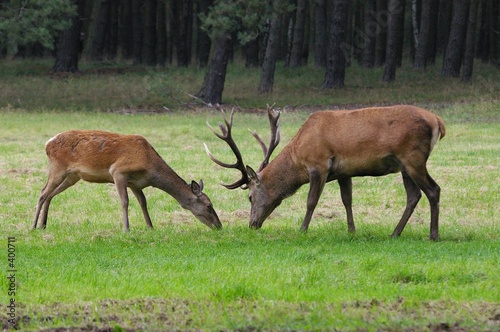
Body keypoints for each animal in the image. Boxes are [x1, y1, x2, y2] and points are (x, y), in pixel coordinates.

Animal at [34, 130, 222, 231]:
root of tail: (47, 143)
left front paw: (150, 227)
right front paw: (126, 229)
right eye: (209, 205)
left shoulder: (136, 184)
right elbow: (124, 201)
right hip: (58, 167)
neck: (150, 166)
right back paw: (33, 226)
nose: (219, 225)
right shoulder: (118, 172)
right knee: (43, 192)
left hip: (72, 176)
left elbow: (143, 203)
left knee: (50, 194)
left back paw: (43, 224)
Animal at [205, 105, 448, 240]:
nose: (252, 224)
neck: (298, 156)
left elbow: (311, 201)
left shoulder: (318, 165)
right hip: (404, 166)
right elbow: (347, 200)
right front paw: (352, 231)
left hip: (413, 157)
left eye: (249, 196)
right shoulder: (344, 173)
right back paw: (395, 233)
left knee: (433, 189)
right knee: (413, 195)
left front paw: (302, 230)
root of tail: (438, 121)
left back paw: (433, 235)